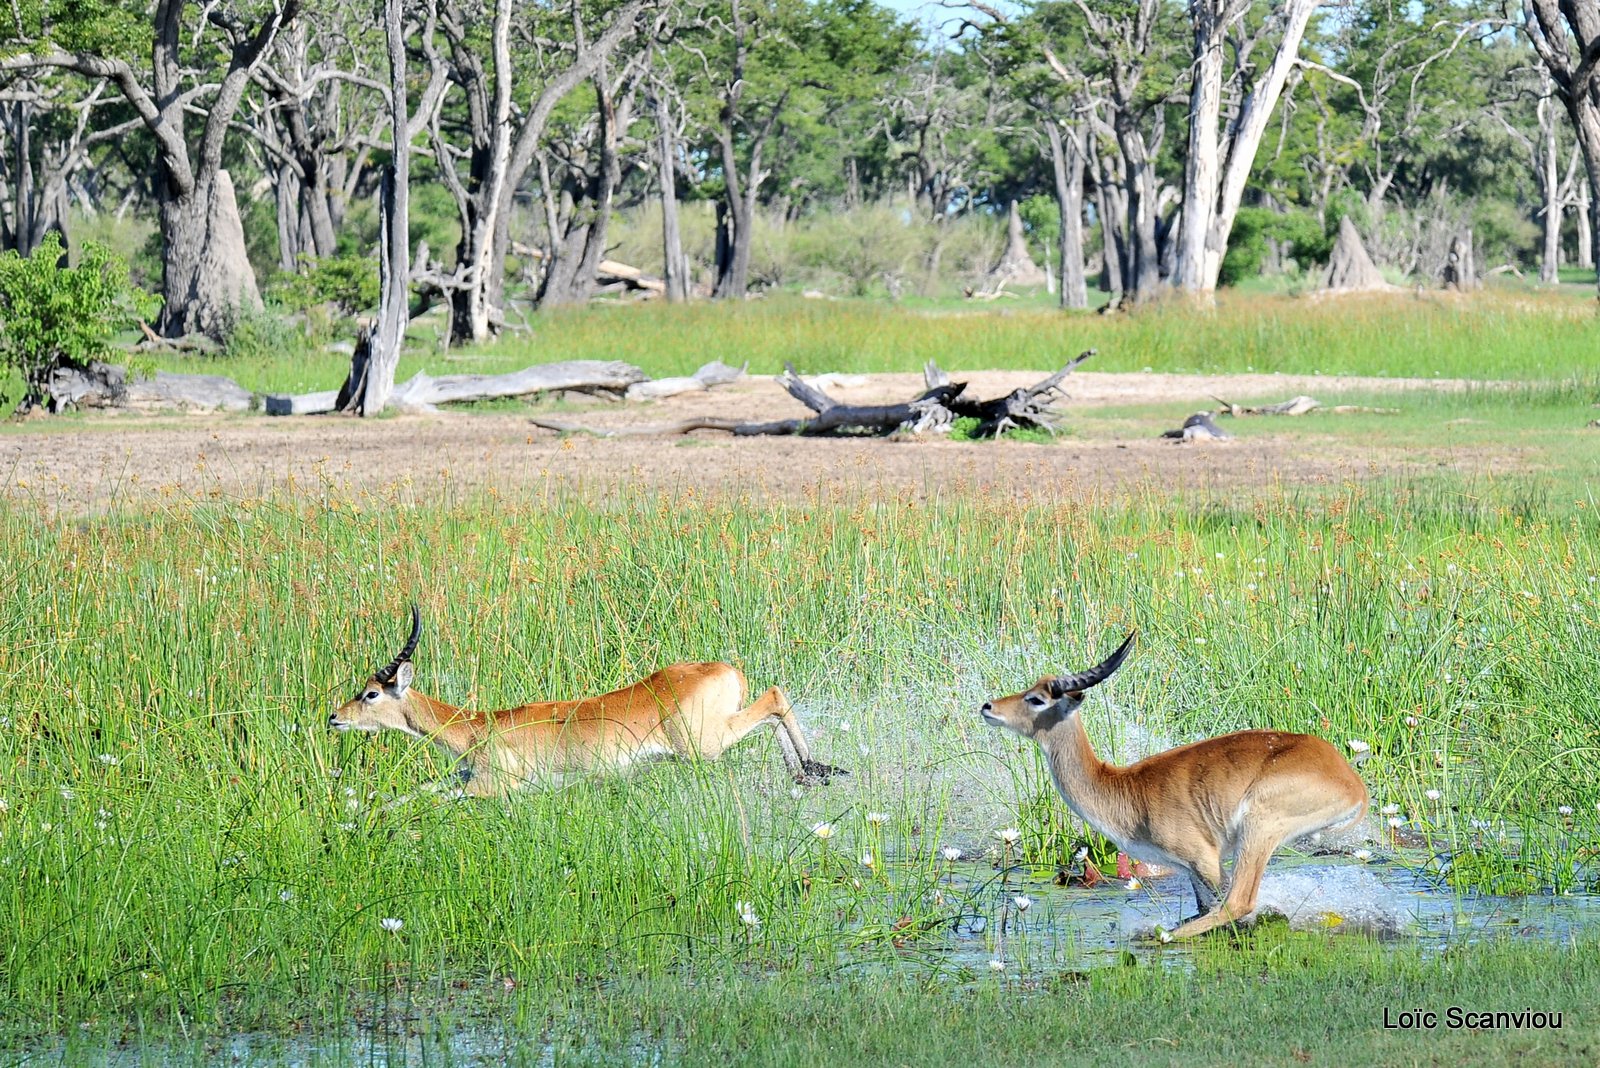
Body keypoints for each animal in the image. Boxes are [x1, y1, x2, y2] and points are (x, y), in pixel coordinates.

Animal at [331, 604, 844, 796]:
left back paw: (818, 770)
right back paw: (808, 773)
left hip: (704, 745)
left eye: (371, 692)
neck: (478, 727)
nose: (334, 717)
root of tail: (725, 669)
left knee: (775, 696)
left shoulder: (490, 789)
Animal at [979, 629, 1369, 940]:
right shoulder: (1187, 869)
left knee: (1239, 903)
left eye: (1037, 699)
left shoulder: (1204, 859)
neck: (1123, 789)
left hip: (1259, 828)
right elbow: (1202, 908)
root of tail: (1349, 779)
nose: (988, 706)